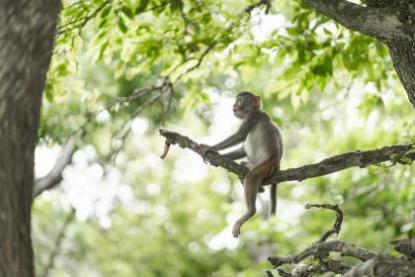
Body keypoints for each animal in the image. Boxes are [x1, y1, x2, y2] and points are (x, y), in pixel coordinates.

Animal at [198, 91, 282, 237]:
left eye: (239, 100)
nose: (234, 105)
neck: (255, 110)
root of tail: (277, 163)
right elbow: (242, 149)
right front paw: (219, 156)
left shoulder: (252, 117)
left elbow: (240, 136)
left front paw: (211, 148)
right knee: (245, 172)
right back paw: (259, 187)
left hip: (266, 165)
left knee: (251, 177)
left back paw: (250, 212)